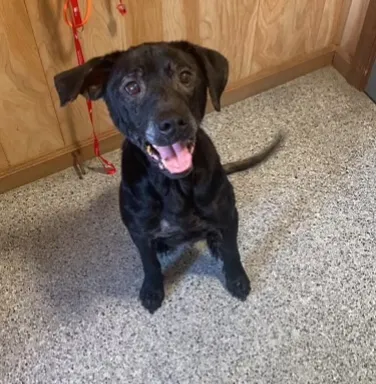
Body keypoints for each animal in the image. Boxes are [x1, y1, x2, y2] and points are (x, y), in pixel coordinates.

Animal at [54, 41, 280, 312]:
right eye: (132, 86)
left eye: (185, 76)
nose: (172, 123)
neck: (173, 185)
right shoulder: (139, 232)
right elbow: (149, 264)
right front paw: (153, 290)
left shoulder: (227, 216)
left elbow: (231, 251)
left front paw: (236, 278)